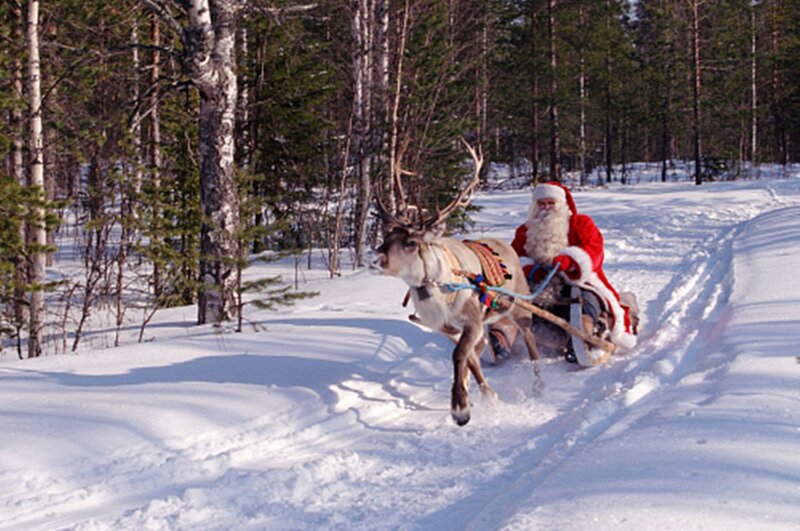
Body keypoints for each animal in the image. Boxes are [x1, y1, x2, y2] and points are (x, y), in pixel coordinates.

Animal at [370, 141, 540, 426]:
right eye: (387, 237)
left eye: (410, 242)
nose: (375, 260)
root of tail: (507, 245)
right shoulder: (444, 325)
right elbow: (469, 357)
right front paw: (483, 395)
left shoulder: (471, 319)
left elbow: (459, 354)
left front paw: (460, 408)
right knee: (483, 347)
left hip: (519, 306)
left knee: (530, 338)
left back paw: (540, 382)